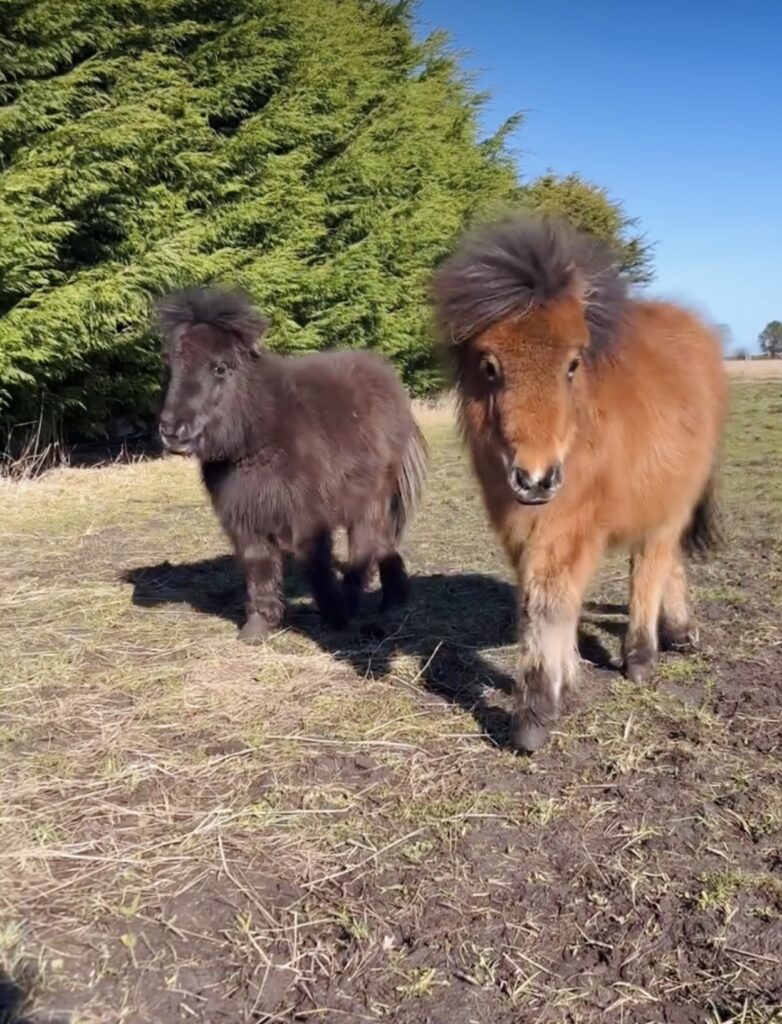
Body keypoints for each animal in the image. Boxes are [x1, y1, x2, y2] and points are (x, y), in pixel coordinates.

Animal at [155, 288, 427, 642]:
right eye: (172, 364)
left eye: (220, 368)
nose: (171, 431)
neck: (261, 434)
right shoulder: (245, 517)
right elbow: (258, 566)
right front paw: (258, 626)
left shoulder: (308, 516)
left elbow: (316, 566)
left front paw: (334, 619)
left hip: (372, 497)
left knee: (366, 543)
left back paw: (362, 603)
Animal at [433, 216, 728, 752]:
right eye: (489, 365)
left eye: (572, 364)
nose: (535, 477)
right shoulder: (524, 530)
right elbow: (539, 604)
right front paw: (564, 684)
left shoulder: (570, 526)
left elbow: (551, 604)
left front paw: (535, 714)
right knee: (665, 560)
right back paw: (678, 632)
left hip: (672, 501)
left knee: (651, 565)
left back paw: (641, 656)